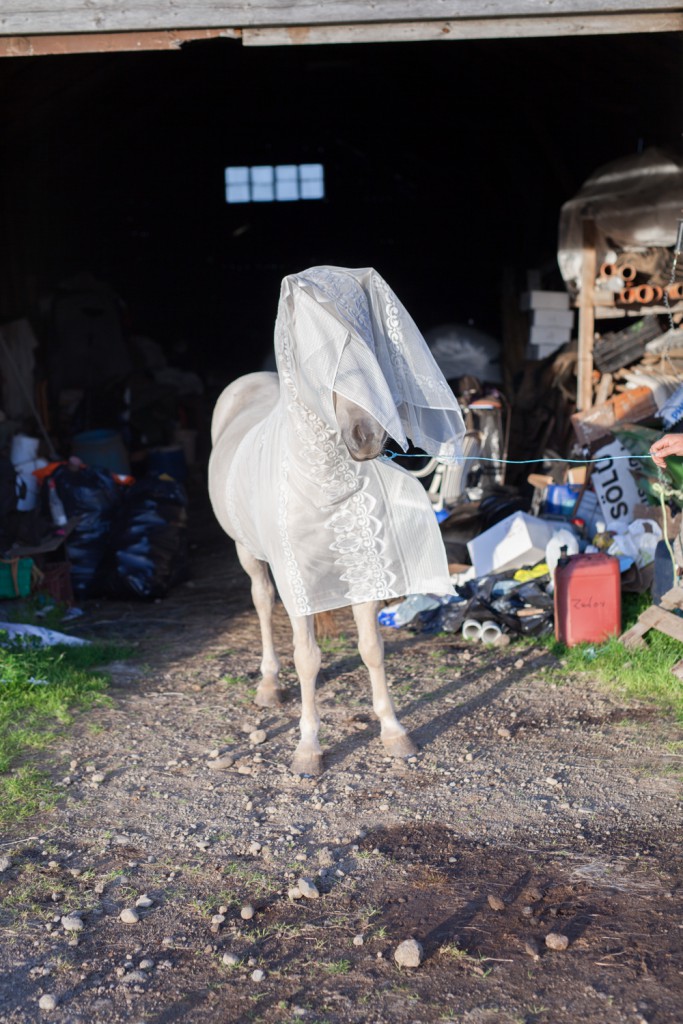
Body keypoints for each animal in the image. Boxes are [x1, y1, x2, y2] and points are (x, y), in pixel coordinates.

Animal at [208, 268, 464, 770]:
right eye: (318, 355)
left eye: (369, 341)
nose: (366, 435)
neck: (320, 480)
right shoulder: (296, 583)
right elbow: (307, 657)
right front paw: (308, 749)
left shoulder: (365, 571)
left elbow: (372, 649)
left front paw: (393, 731)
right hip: (248, 551)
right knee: (262, 603)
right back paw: (269, 685)